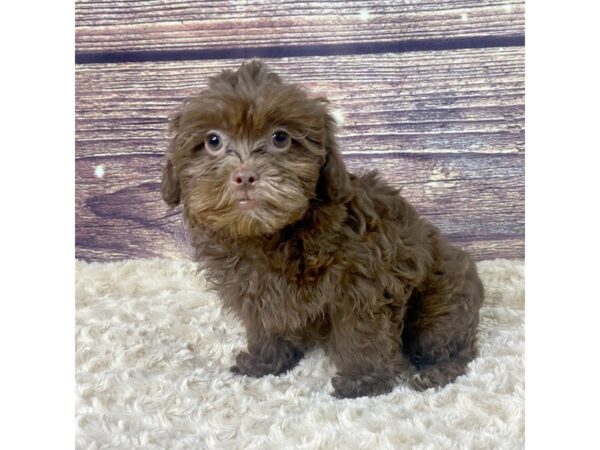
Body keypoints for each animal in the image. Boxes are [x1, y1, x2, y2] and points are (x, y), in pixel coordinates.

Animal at [162, 61, 486, 400]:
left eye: (280, 138)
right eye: (213, 141)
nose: (245, 175)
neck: (270, 235)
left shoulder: (360, 284)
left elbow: (361, 334)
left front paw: (362, 382)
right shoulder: (256, 288)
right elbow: (266, 323)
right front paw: (266, 360)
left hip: (439, 308)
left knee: (454, 346)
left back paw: (435, 373)